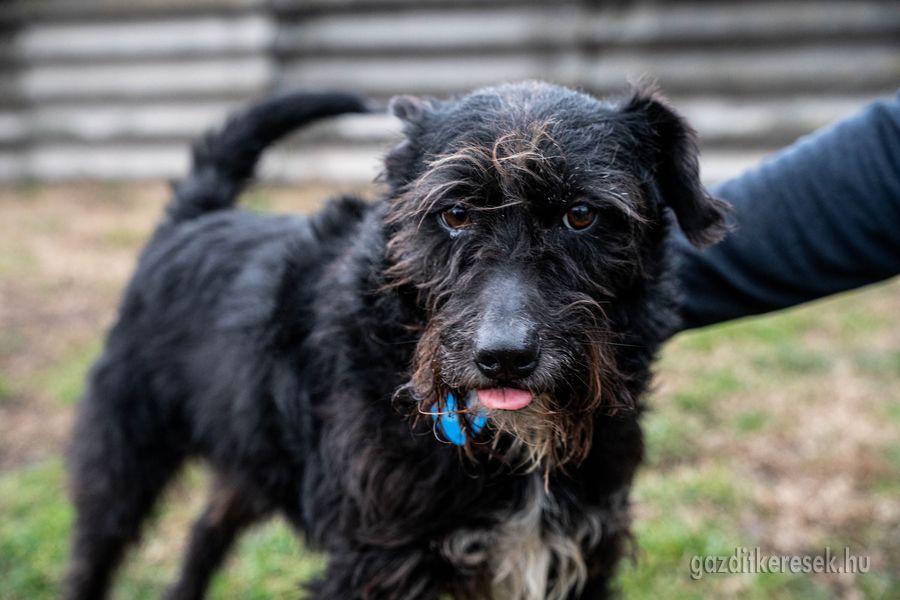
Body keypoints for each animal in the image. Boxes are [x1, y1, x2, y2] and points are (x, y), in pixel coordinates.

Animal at [64, 82, 729, 600]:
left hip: (250, 455)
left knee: (204, 533)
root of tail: (194, 217)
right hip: (124, 458)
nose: (504, 358)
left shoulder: (580, 546)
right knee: (93, 555)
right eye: (455, 213)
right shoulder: (377, 562)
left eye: (583, 215)